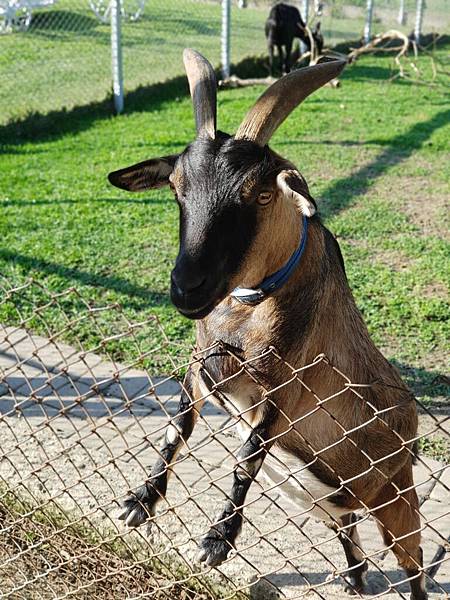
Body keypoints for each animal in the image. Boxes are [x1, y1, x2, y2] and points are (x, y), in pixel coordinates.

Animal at [107, 51, 428, 600]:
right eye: (176, 189)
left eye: (260, 194)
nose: (187, 288)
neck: (247, 310)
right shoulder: (202, 368)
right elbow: (176, 429)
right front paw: (140, 501)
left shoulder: (284, 391)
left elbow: (247, 456)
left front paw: (216, 541)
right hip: (323, 504)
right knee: (350, 533)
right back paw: (352, 578)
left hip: (397, 502)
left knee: (415, 565)